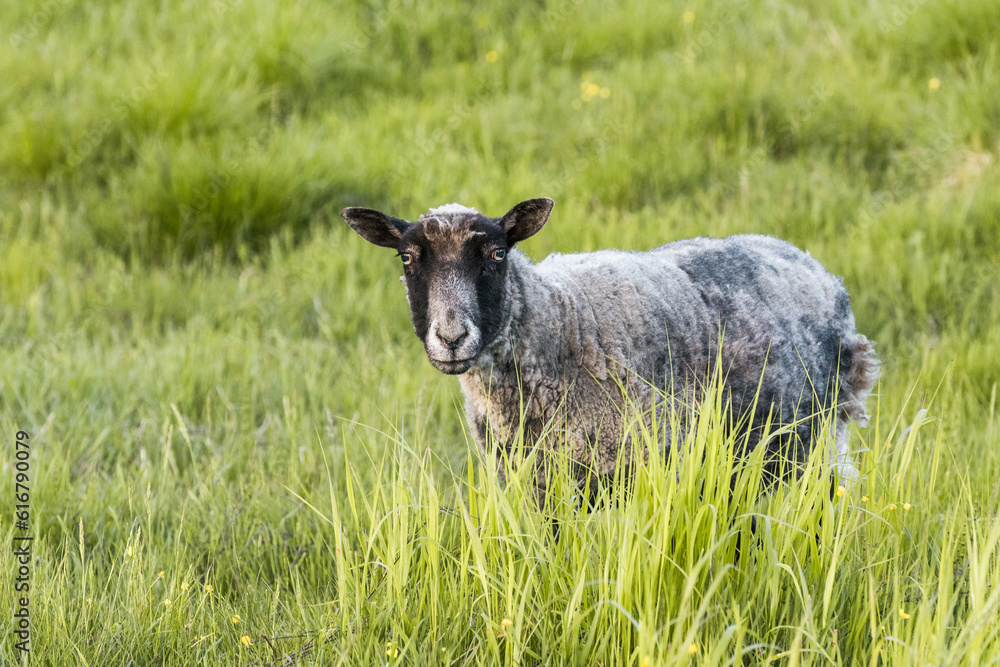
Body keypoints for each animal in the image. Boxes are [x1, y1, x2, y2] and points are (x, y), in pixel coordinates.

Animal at [341, 197, 878, 502]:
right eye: (406, 257)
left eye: (496, 254)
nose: (451, 338)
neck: (561, 320)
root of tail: (810, 263)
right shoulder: (538, 486)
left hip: (817, 438)